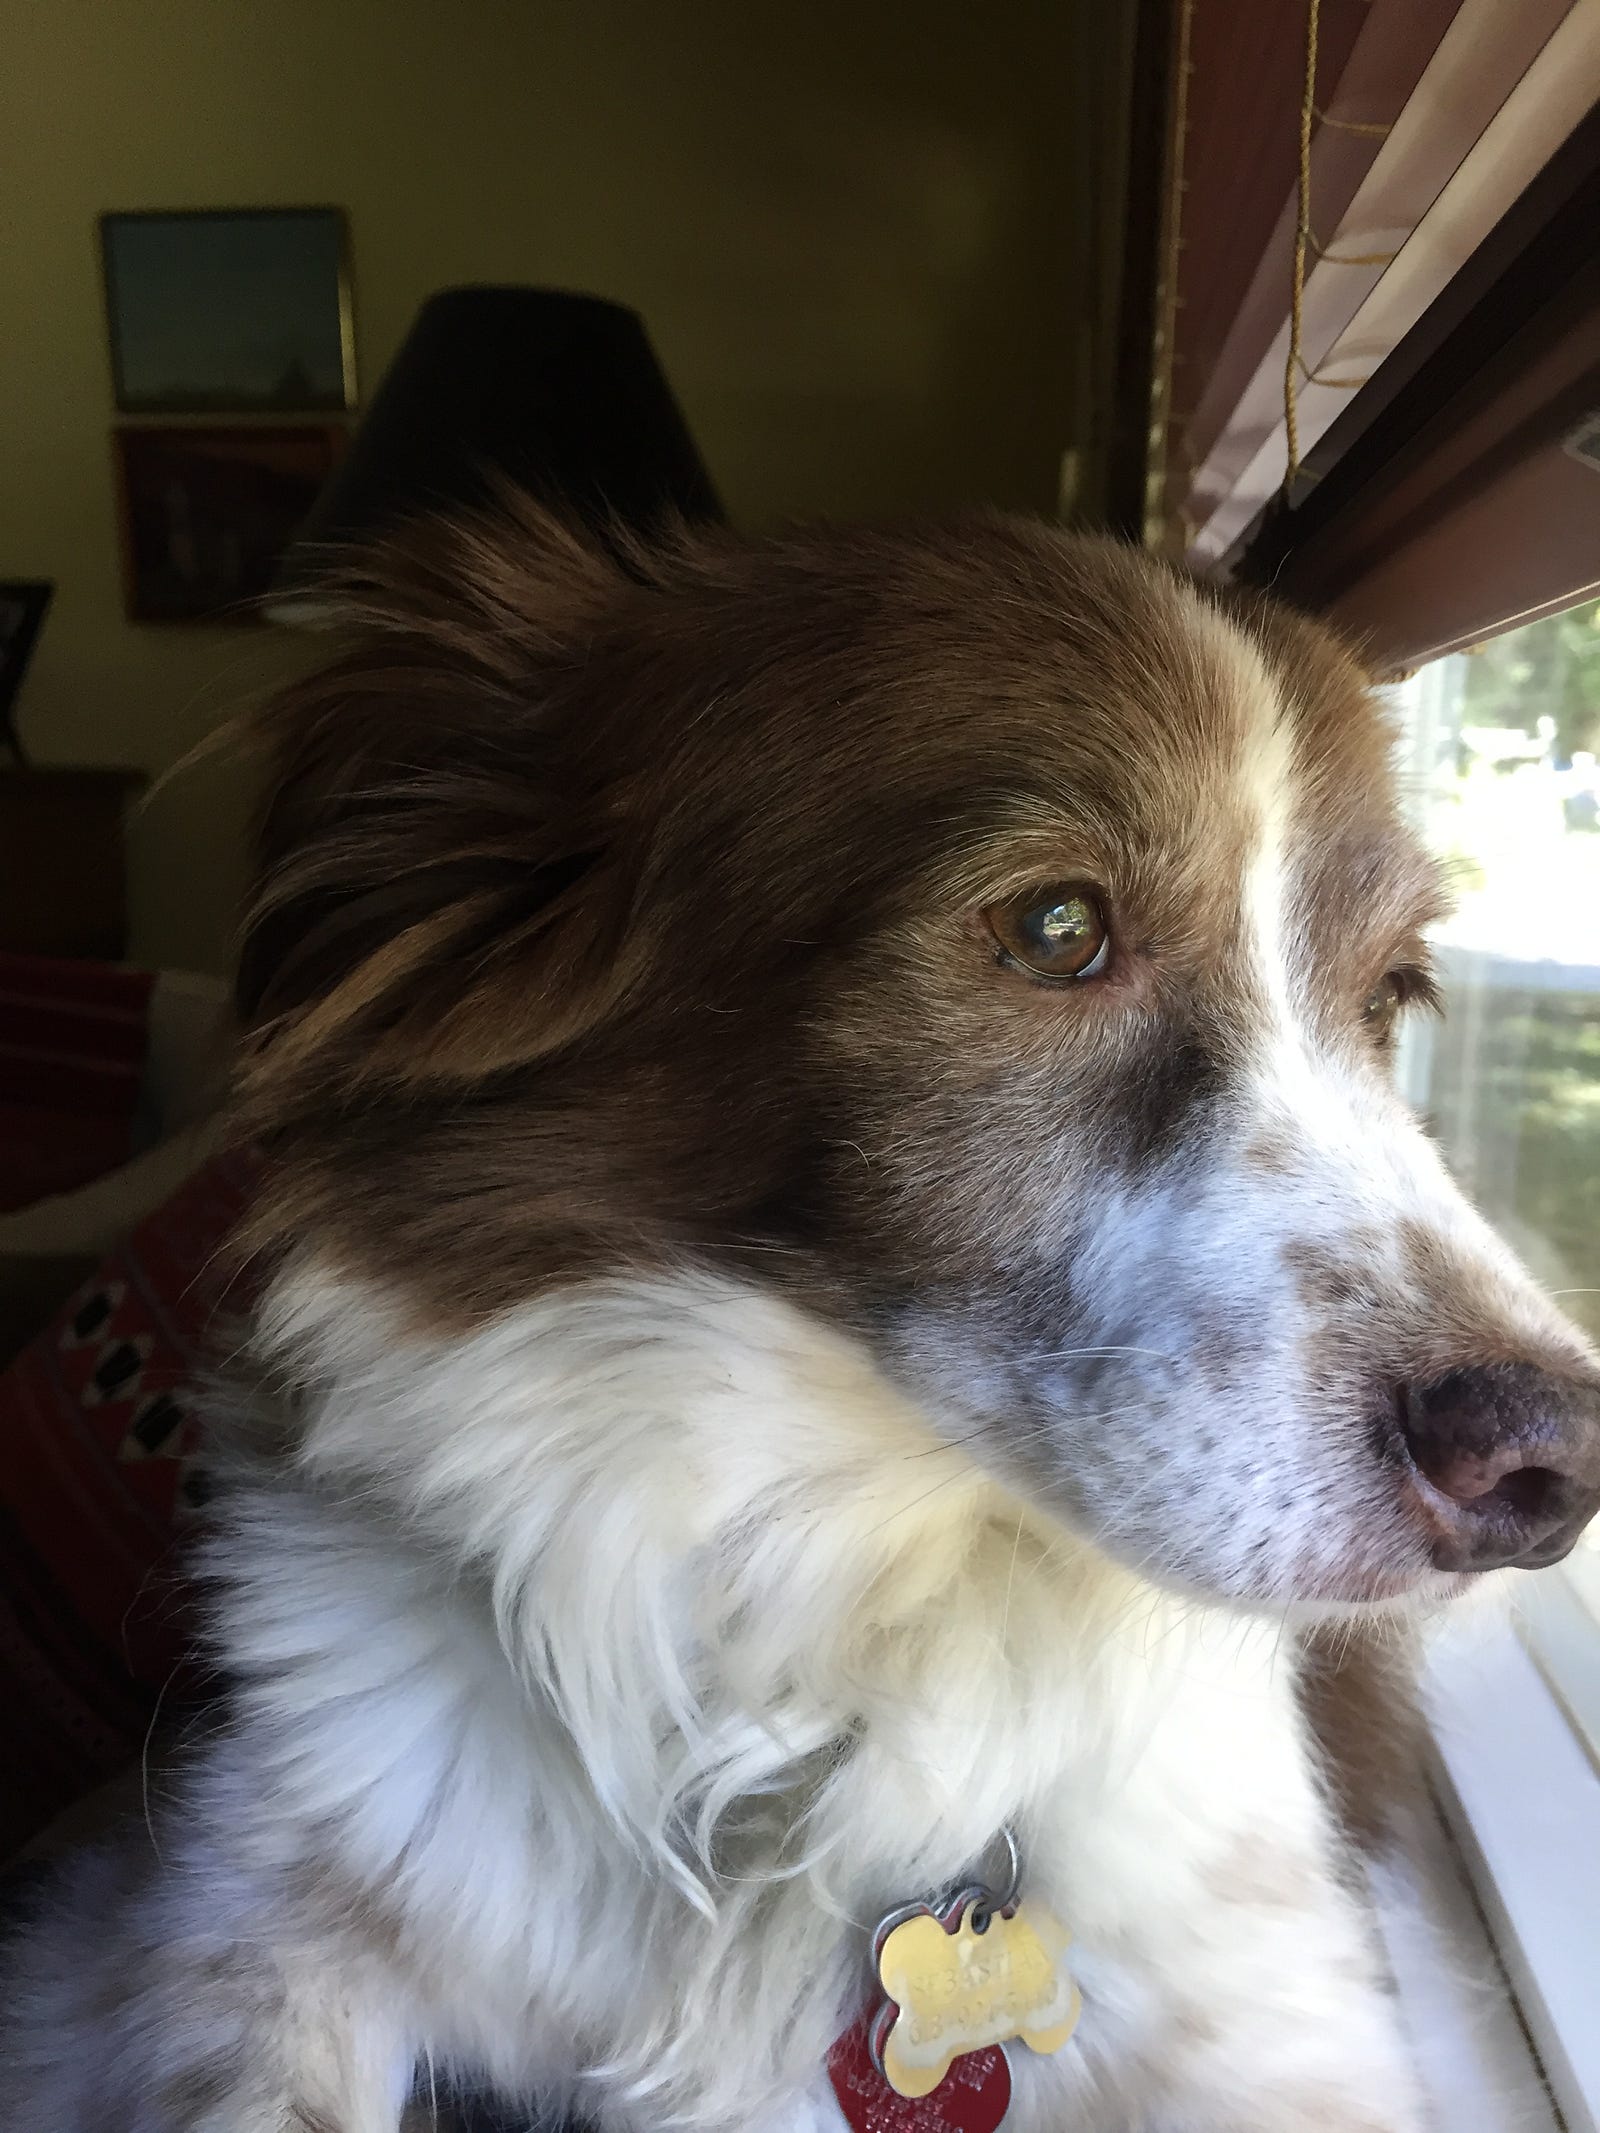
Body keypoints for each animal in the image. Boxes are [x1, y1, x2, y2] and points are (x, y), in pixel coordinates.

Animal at [5, 502, 1599, 2132]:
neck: (827, 1614)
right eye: (1057, 926)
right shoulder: (222, 1910)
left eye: (1389, 992)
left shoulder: (1278, 2014)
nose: (1553, 1464)